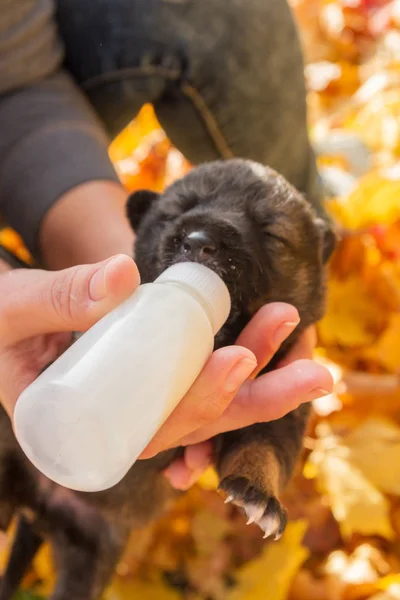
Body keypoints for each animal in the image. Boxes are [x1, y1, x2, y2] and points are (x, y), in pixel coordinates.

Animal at [0, 161, 334, 600]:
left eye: (270, 232)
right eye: (175, 213)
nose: (200, 242)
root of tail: (37, 503)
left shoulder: (281, 415)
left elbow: (264, 449)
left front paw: (257, 494)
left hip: (88, 553)